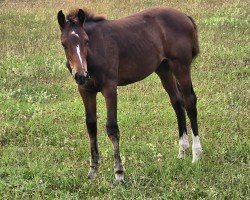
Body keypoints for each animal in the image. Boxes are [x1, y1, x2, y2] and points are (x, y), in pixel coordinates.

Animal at [57, 7, 202, 183]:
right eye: (64, 44)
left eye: (86, 40)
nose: (80, 75)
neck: (94, 52)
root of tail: (184, 16)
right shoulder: (85, 90)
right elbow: (91, 126)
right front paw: (92, 171)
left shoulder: (110, 88)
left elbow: (112, 128)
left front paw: (119, 174)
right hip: (164, 68)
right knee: (177, 103)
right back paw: (182, 151)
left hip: (181, 66)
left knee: (189, 102)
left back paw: (196, 154)